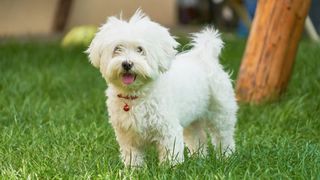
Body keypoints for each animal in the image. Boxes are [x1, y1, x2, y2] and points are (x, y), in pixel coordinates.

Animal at [87, 9, 238, 167]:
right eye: (117, 48)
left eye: (140, 49)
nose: (127, 64)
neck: (137, 95)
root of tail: (204, 56)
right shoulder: (127, 134)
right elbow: (133, 155)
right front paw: (134, 169)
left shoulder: (168, 129)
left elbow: (171, 152)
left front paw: (171, 168)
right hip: (193, 117)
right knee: (197, 137)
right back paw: (198, 158)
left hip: (220, 112)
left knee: (223, 136)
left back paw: (226, 157)